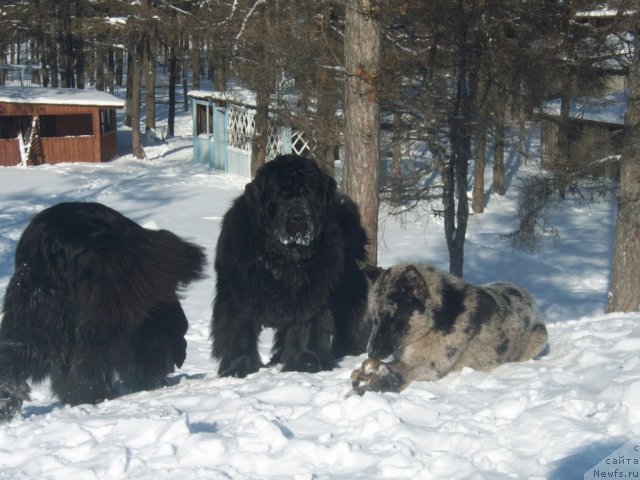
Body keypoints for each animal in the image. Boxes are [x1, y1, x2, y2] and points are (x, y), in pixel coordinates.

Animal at [211, 156, 370, 376]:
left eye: (309, 193)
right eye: (280, 195)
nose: (298, 217)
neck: (284, 257)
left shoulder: (312, 292)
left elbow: (305, 327)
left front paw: (306, 363)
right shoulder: (238, 292)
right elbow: (238, 330)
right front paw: (239, 367)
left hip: (348, 285)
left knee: (348, 315)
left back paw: (347, 349)